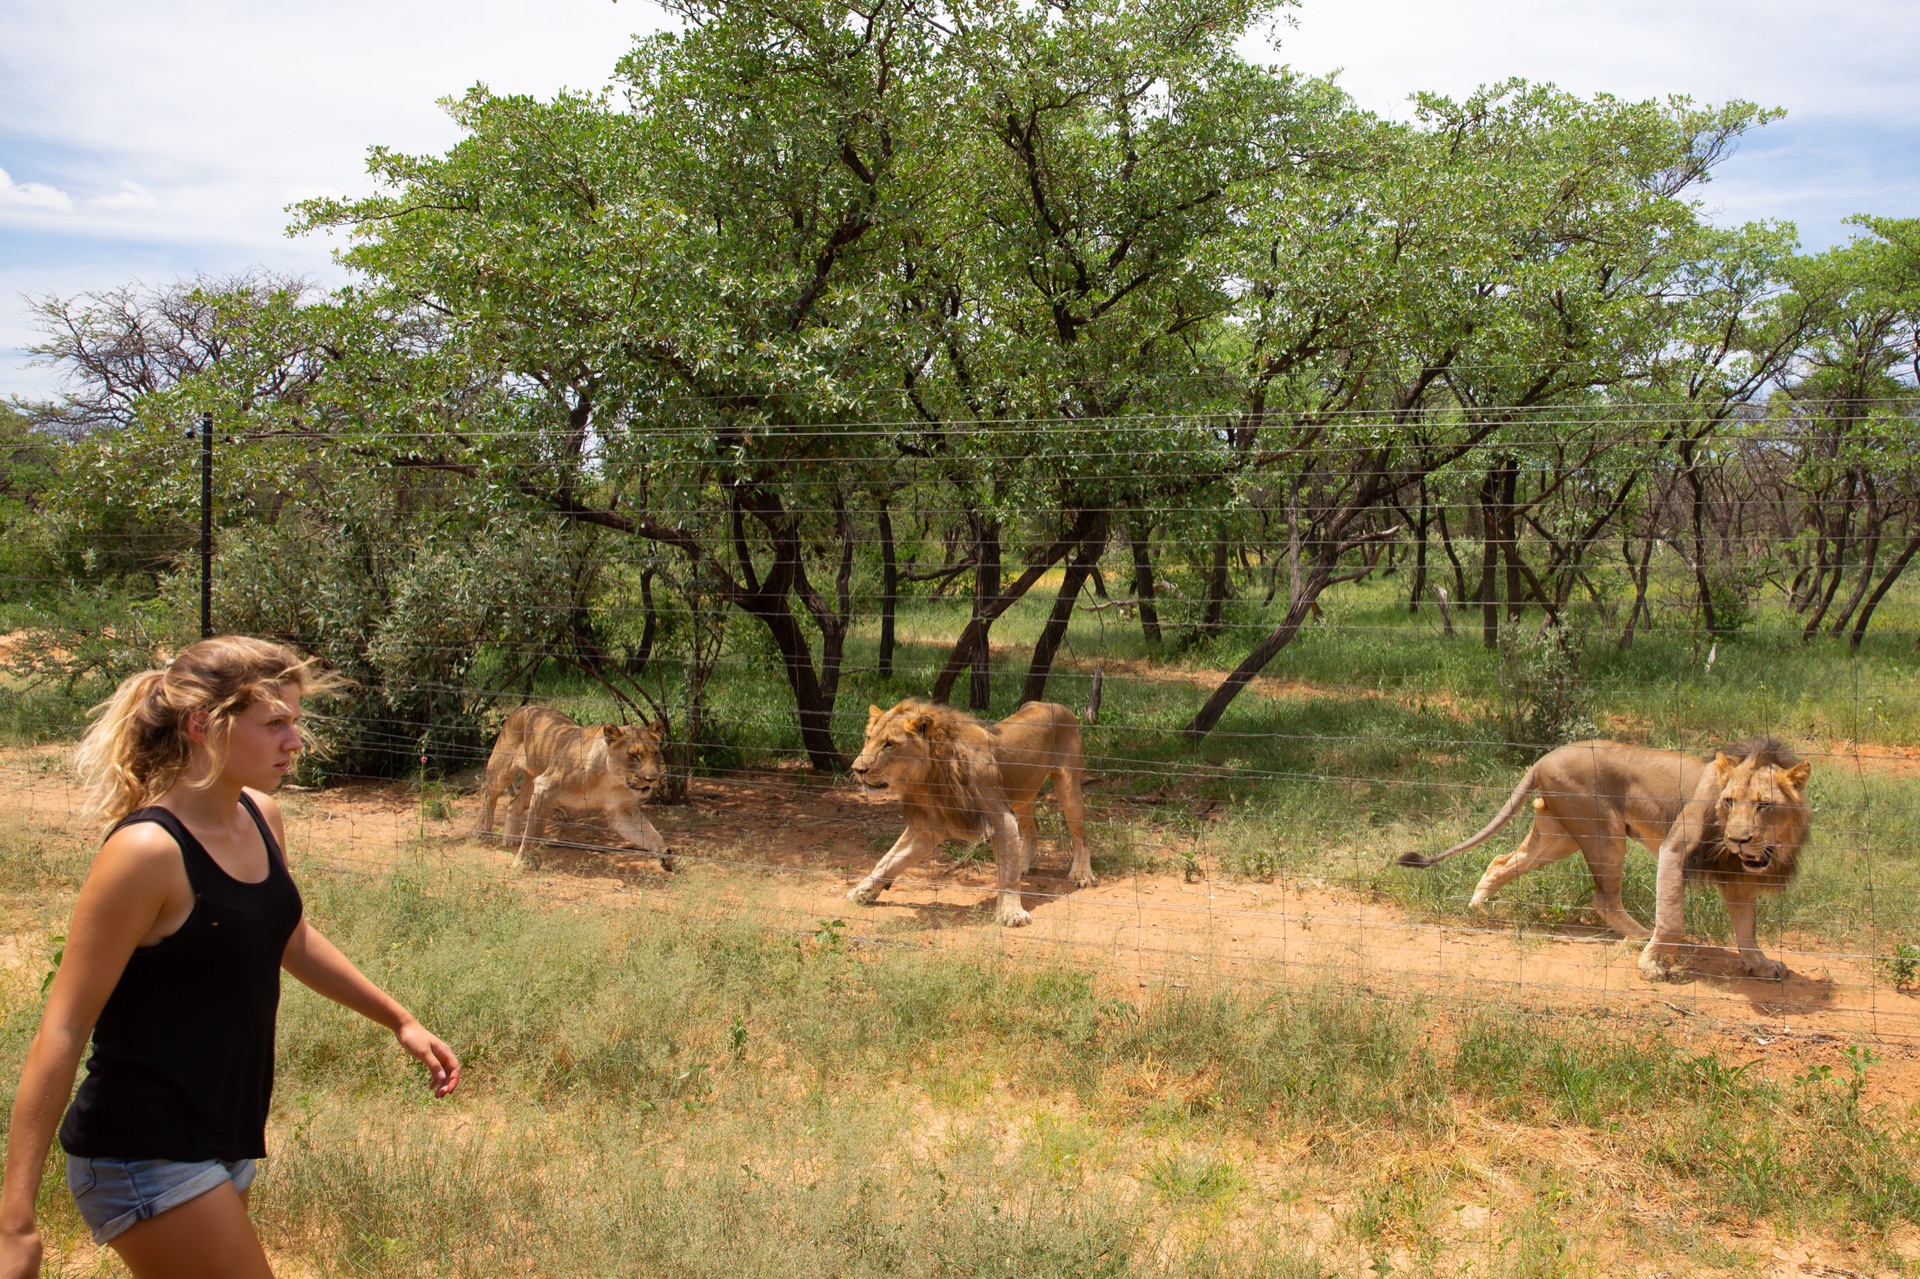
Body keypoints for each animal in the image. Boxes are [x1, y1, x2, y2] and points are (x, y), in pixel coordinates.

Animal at [848, 702, 1090, 921]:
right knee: (1033, 830)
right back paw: (1023, 865)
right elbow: (888, 860)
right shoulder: (926, 829)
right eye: (868, 738)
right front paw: (863, 891)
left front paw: (1012, 913)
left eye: (890, 744)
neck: (926, 779)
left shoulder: (1001, 817)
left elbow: (1007, 874)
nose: (857, 769)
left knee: (1082, 835)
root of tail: (1059, 706)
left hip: (1068, 788)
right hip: (1022, 796)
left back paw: (1082, 874)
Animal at [1405, 737, 1804, 975]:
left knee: (1502, 861)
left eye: (1764, 805)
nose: (1739, 839)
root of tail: (1544, 758)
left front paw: (1760, 964)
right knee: (1604, 899)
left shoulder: (1740, 875)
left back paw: (1478, 905)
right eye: (1729, 801)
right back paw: (1640, 935)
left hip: (1558, 836)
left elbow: (1747, 926)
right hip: (1604, 832)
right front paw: (1654, 963)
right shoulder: (1675, 848)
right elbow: (1672, 917)